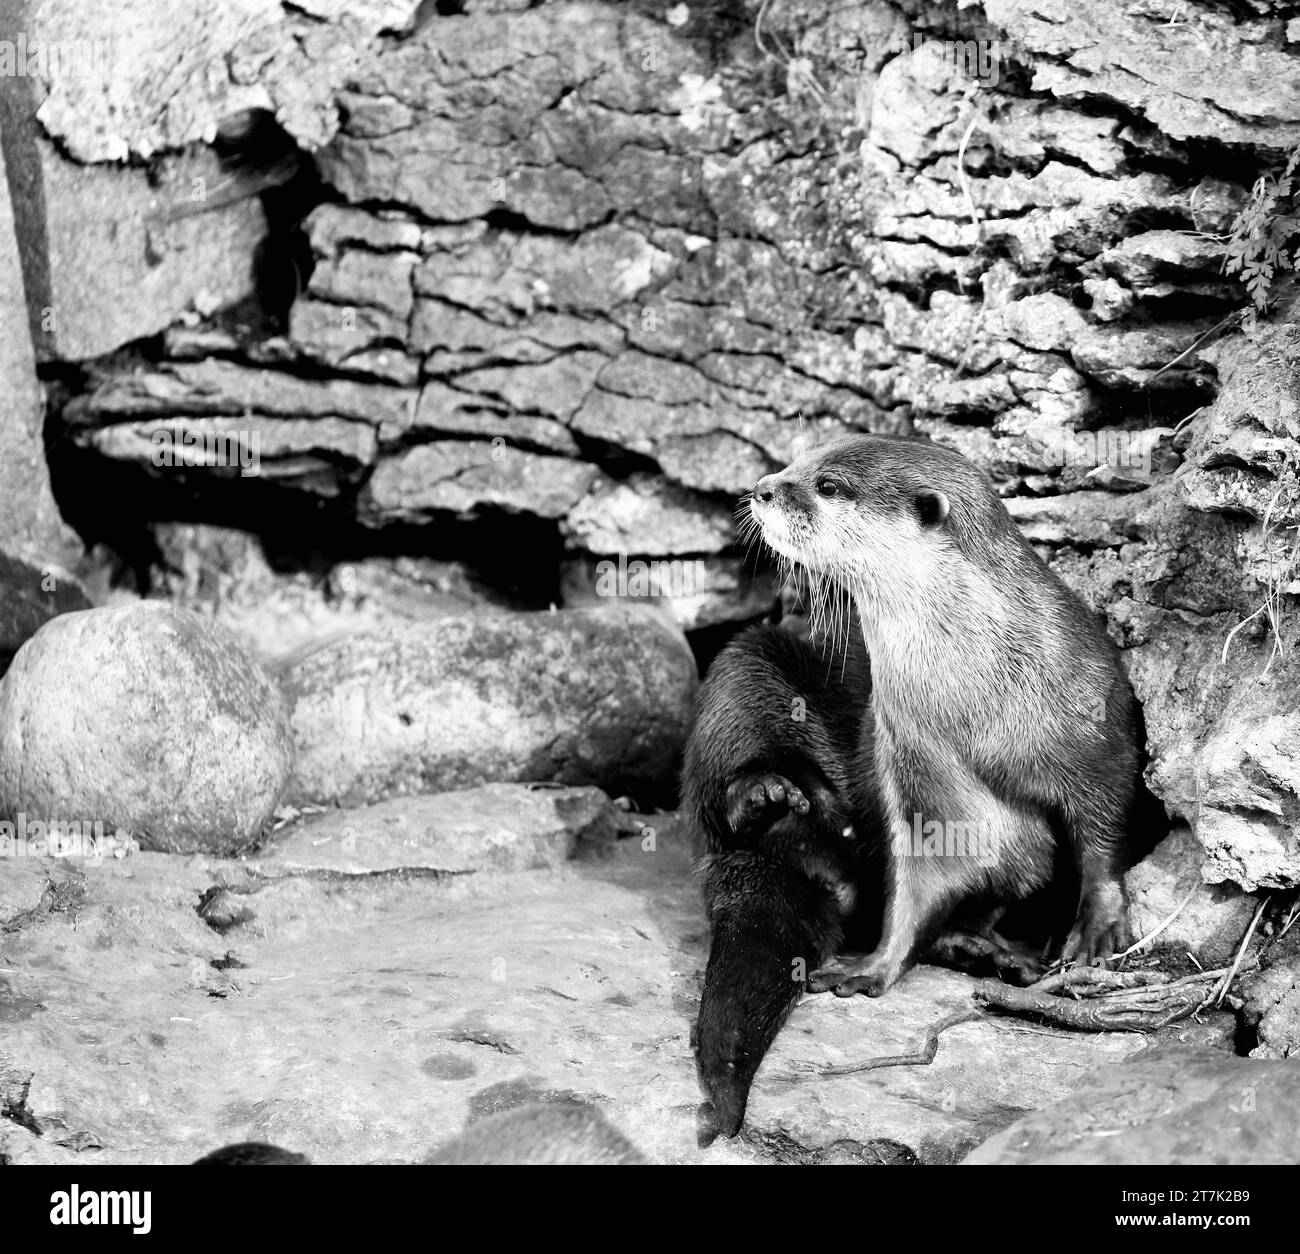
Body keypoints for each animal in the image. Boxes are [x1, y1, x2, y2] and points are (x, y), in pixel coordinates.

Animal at [686, 431, 1144, 1133]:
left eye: (828, 484)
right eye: (799, 460)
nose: (763, 488)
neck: (977, 696)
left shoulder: (1094, 717)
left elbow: (1105, 822)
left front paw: (1097, 926)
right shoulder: (906, 760)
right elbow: (918, 873)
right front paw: (873, 966)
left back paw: (988, 949)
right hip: (748, 663)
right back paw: (769, 795)